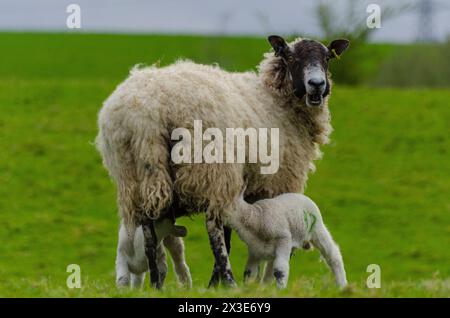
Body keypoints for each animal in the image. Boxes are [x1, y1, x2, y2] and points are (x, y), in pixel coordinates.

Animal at [95, 34, 350, 288]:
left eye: (327, 58)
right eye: (291, 57)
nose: (317, 84)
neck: (276, 99)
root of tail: (148, 112)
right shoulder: (276, 184)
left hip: (137, 175)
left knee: (149, 230)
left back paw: (157, 283)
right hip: (214, 169)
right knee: (213, 228)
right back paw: (228, 281)